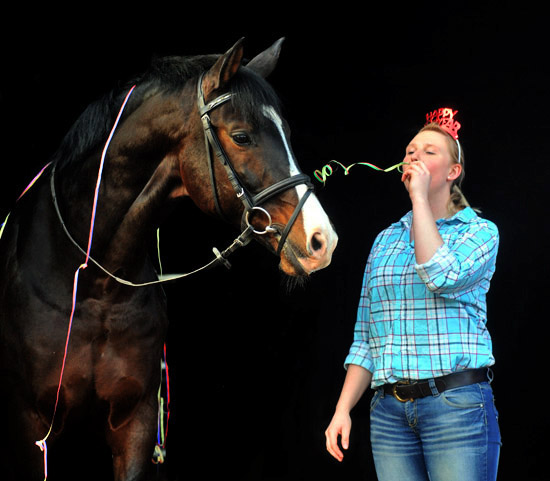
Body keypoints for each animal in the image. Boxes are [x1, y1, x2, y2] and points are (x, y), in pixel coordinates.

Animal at [0, 38, 338, 480]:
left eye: (287, 134)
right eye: (242, 136)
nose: (322, 240)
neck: (89, 284)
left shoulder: (135, 420)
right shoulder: (31, 426)